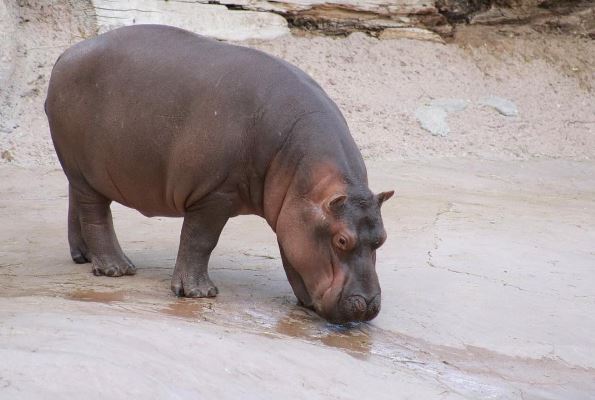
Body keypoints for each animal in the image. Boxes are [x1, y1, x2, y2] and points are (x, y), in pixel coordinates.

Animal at [44, 24, 394, 324]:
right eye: (341, 240)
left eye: (382, 239)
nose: (368, 305)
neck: (302, 172)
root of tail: (64, 55)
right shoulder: (214, 195)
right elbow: (200, 240)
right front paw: (199, 294)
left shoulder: (291, 210)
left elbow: (292, 255)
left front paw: (306, 302)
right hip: (86, 171)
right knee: (96, 215)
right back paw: (117, 268)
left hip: (80, 172)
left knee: (76, 203)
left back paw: (84, 257)